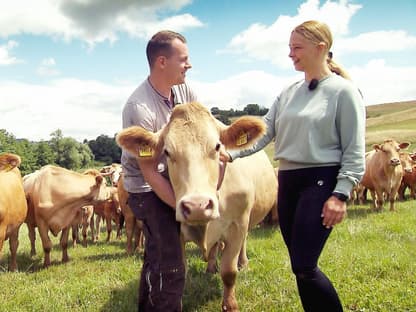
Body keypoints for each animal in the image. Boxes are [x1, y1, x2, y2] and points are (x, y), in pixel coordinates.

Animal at [115, 101, 276, 310]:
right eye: (167, 152)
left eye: (217, 146)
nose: (197, 206)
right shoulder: (177, 233)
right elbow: (179, 271)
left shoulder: (238, 225)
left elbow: (229, 272)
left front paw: (230, 305)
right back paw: (210, 266)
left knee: (243, 243)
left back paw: (243, 262)